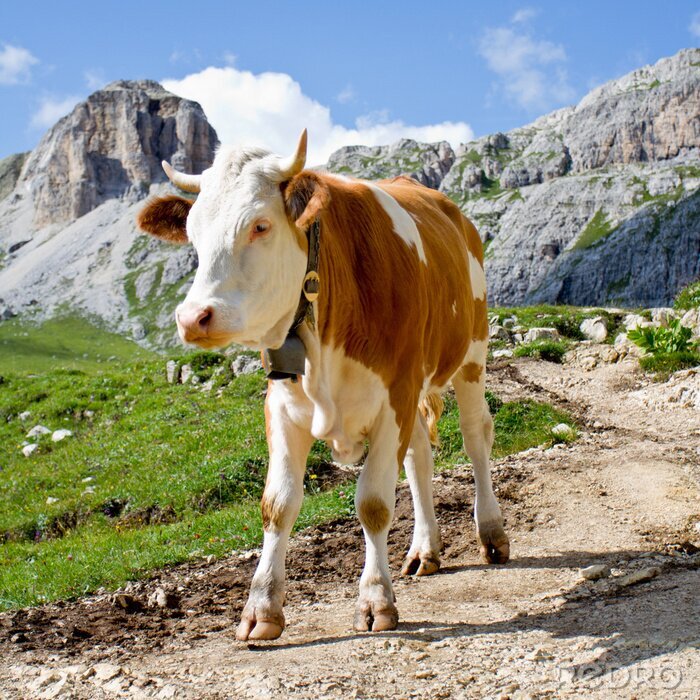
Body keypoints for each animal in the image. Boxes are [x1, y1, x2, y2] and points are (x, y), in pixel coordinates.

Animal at [137, 130, 509, 641]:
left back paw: (491, 533)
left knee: (475, 436)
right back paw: (423, 550)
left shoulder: (393, 396)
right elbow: (277, 504)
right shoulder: (281, 404)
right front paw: (261, 608)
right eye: (193, 235)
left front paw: (375, 599)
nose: (193, 318)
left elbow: (373, 502)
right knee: (419, 456)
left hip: (470, 352)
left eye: (260, 226)